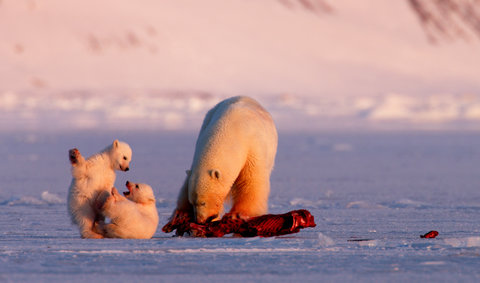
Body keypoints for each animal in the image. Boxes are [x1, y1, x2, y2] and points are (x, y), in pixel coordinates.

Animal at [164, 95, 278, 233]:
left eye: (203, 202)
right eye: (192, 202)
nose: (200, 221)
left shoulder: (253, 148)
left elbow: (251, 182)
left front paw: (236, 214)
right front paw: (181, 215)